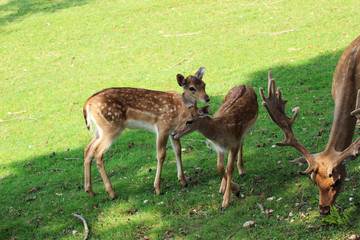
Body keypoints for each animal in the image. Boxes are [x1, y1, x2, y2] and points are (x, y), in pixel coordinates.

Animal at [82, 67, 210, 199]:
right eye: (192, 88)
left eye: (204, 84)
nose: (207, 98)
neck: (179, 111)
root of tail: (87, 104)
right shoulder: (162, 126)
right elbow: (161, 155)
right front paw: (157, 188)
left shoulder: (173, 131)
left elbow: (178, 150)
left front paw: (183, 181)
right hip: (111, 128)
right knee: (98, 152)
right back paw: (111, 193)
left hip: (99, 130)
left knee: (88, 149)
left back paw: (90, 190)